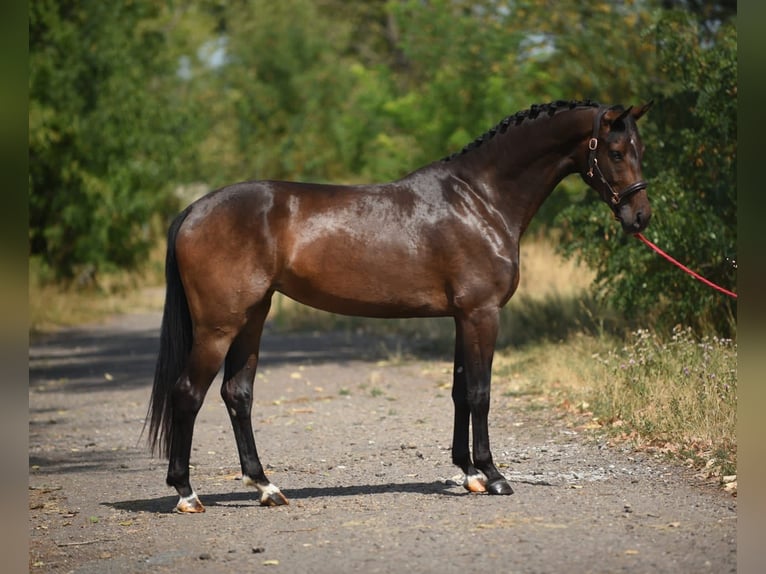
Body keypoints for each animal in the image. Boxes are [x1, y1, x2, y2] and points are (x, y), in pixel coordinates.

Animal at [146, 98, 656, 512]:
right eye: (615, 152)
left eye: (640, 149)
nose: (640, 217)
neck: (480, 200)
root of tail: (193, 210)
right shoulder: (482, 314)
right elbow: (480, 393)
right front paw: (493, 476)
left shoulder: (461, 317)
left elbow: (459, 391)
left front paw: (468, 473)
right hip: (218, 326)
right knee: (187, 393)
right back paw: (187, 494)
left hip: (252, 317)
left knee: (238, 394)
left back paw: (266, 487)